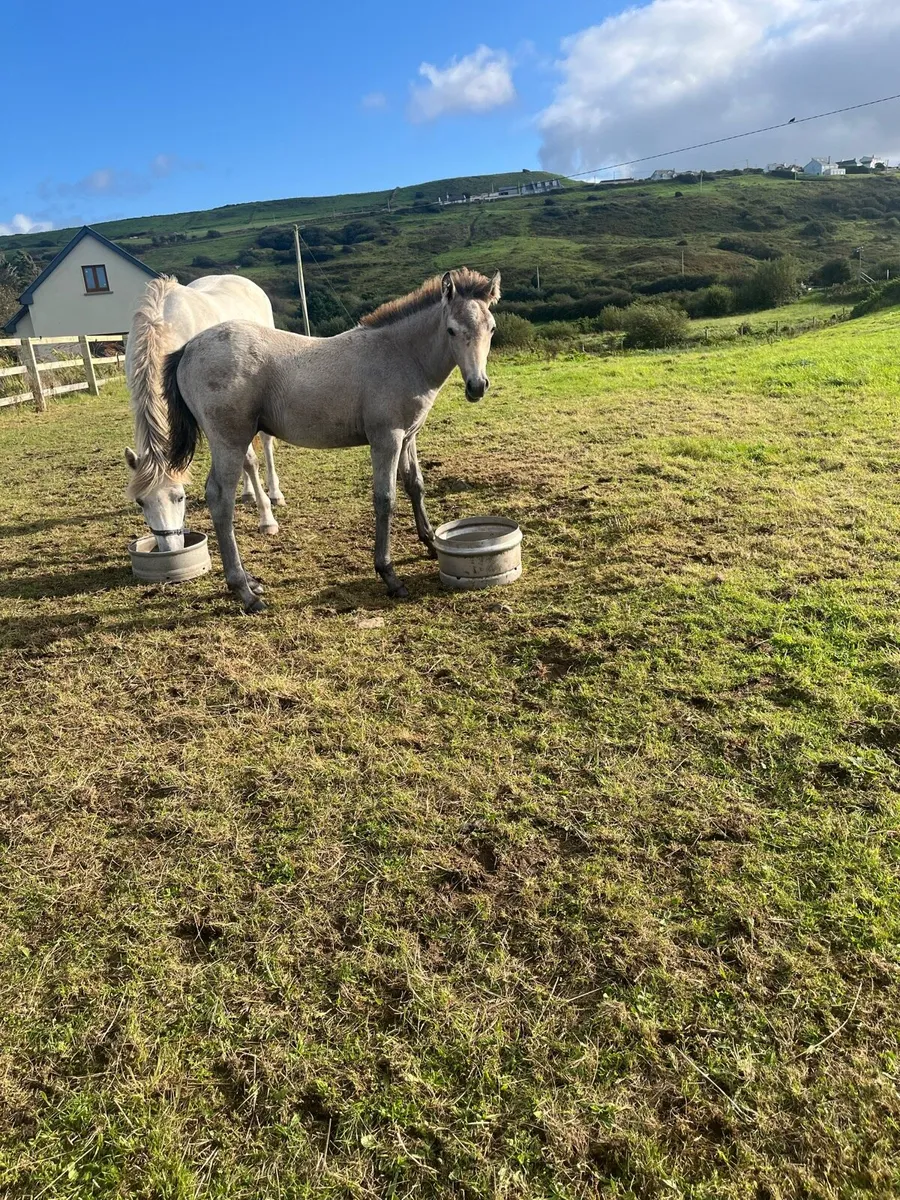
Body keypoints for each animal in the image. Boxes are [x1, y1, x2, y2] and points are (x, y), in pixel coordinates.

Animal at [124, 273, 286, 552]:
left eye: (180, 497)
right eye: (141, 502)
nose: (171, 550)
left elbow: (250, 461)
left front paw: (267, 520)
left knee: (264, 444)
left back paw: (274, 493)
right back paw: (246, 492)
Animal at [149, 267, 500, 612]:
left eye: (492, 328)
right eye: (451, 330)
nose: (477, 386)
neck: (401, 354)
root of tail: (187, 348)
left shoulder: (408, 436)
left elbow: (415, 484)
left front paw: (430, 543)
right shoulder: (386, 438)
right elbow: (385, 498)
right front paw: (389, 575)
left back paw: (251, 582)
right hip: (230, 442)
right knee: (221, 499)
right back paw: (245, 592)